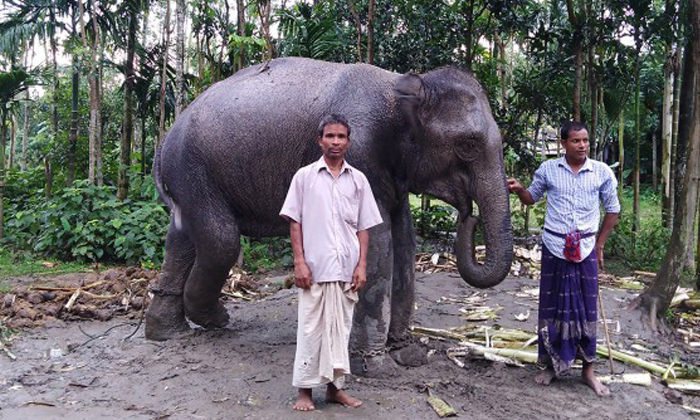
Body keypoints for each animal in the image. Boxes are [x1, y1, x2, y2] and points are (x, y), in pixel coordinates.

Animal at [146, 55, 516, 374]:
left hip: (190, 180)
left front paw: (407, 354)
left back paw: (168, 333)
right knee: (221, 240)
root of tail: (163, 144)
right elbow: (377, 244)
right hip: (194, 171)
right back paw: (215, 319)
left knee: (182, 238)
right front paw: (374, 368)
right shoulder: (361, 150)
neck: (401, 85)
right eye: (467, 146)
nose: (468, 214)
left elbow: (404, 241)